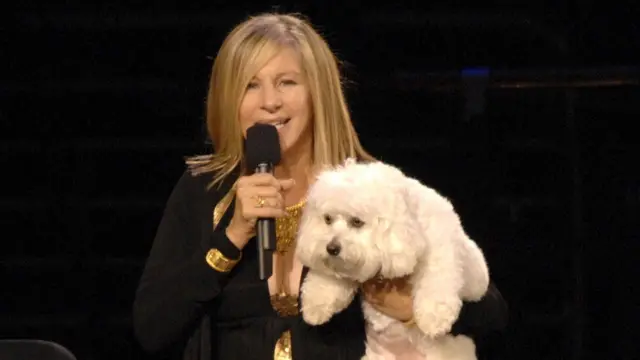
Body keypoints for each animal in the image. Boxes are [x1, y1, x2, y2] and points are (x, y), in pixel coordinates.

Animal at [294, 160, 490, 360]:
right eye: (327, 219)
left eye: (357, 221)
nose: (331, 248)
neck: (410, 226)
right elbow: (328, 282)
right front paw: (315, 305)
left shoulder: (443, 248)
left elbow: (438, 276)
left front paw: (434, 317)